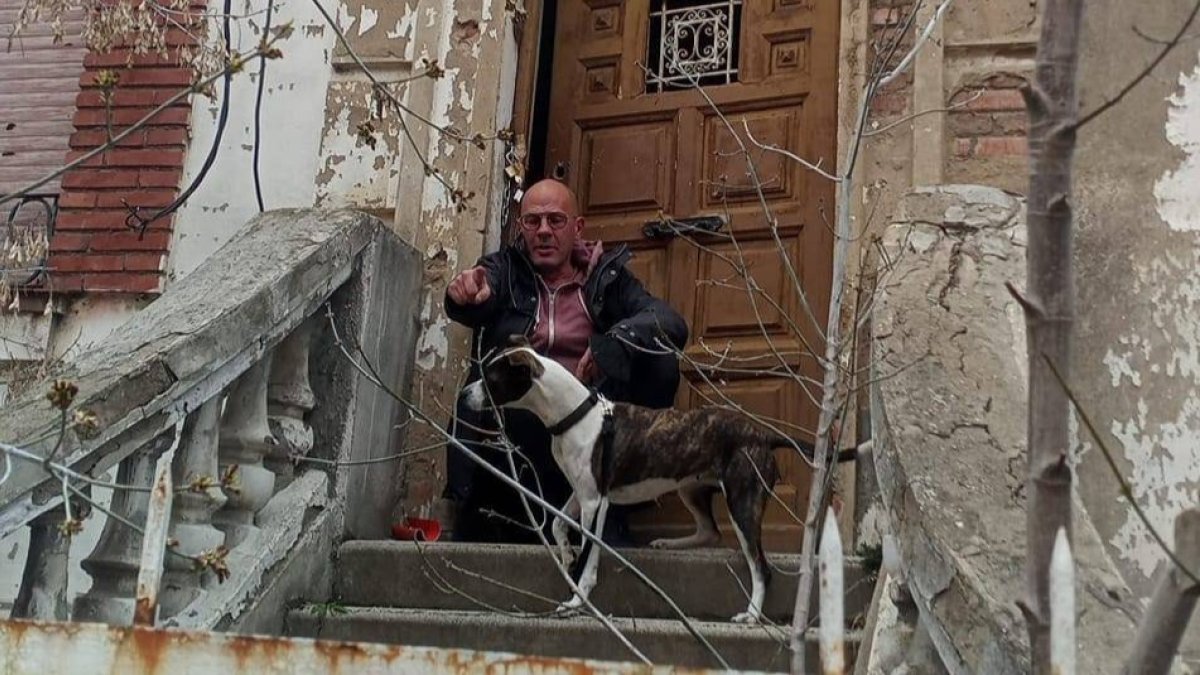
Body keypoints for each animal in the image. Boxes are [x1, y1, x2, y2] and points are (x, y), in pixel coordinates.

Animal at [465, 333, 787, 624]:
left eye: (490, 378)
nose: (464, 394)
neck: (576, 415)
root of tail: (764, 435)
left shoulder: (594, 503)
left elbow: (588, 558)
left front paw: (575, 602)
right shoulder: (582, 493)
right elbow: (557, 523)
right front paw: (567, 555)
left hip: (742, 500)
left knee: (761, 568)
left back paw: (751, 615)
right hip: (691, 489)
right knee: (711, 531)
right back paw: (668, 544)